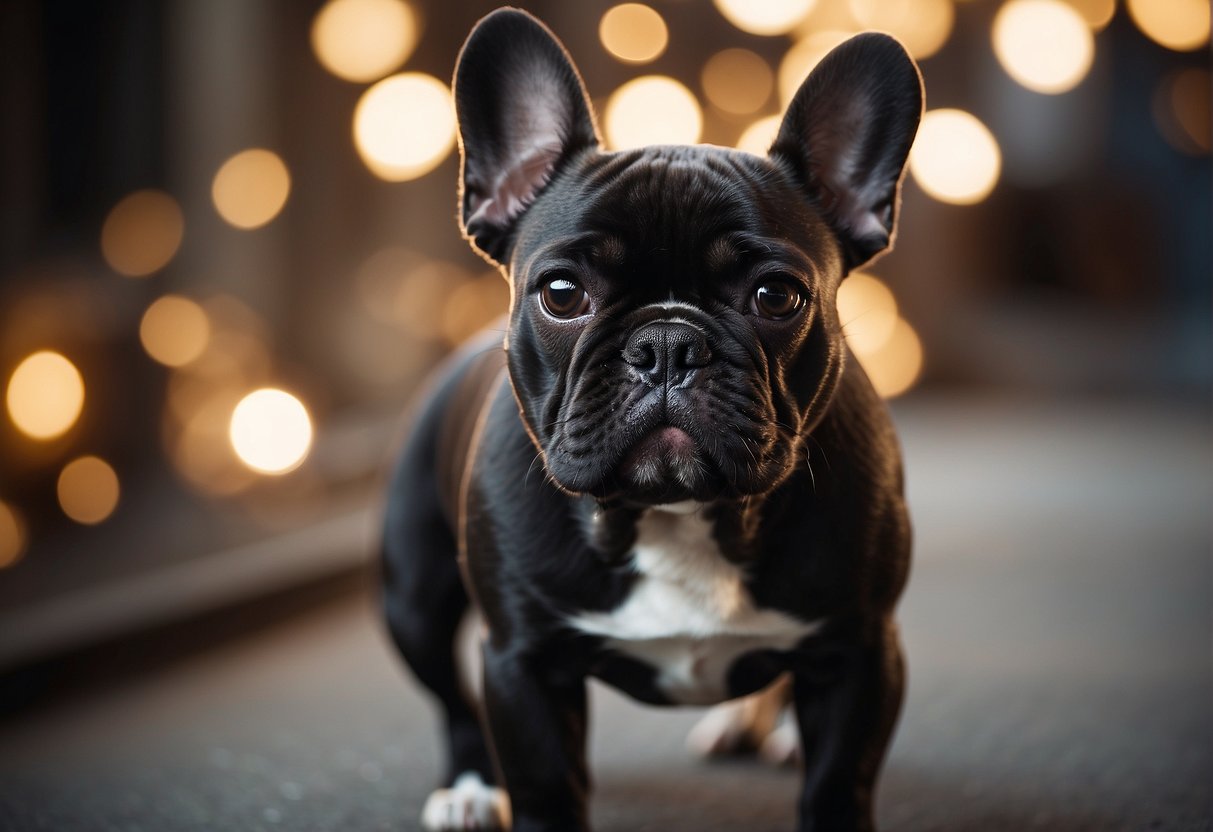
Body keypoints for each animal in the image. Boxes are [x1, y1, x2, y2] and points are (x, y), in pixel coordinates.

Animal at [383, 8, 921, 832]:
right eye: (562, 293)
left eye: (777, 296)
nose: (667, 343)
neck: (679, 515)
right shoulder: (522, 663)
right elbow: (545, 787)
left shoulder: (861, 652)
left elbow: (837, 783)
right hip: (411, 598)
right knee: (451, 698)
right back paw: (471, 788)